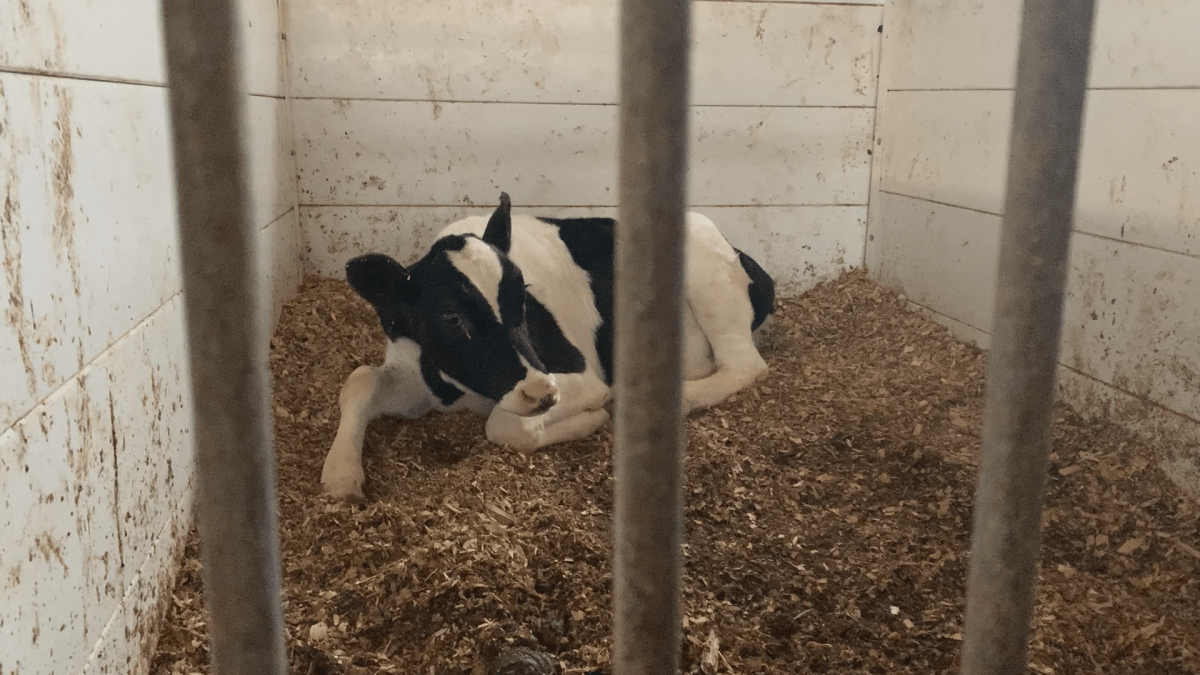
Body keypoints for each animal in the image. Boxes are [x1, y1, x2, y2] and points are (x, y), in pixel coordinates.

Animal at [321, 193, 775, 502]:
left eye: (522, 295)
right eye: (451, 318)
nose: (542, 392)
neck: (459, 388)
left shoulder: (581, 377)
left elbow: (505, 425)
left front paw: (591, 419)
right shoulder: (414, 372)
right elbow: (360, 381)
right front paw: (340, 472)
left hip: (710, 285)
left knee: (744, 364)